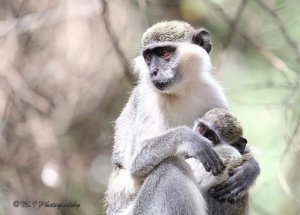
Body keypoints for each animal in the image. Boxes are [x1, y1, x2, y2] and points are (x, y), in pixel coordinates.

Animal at [104, 20, 258, 215]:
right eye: (148, 56)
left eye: (164, 53)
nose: (154, 71)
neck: (180, 91)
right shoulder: (147, 98)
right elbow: (135, 161)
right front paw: (189, 138)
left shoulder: (212, 92)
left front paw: (251, 169)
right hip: (139, 210)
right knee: (170, 166)